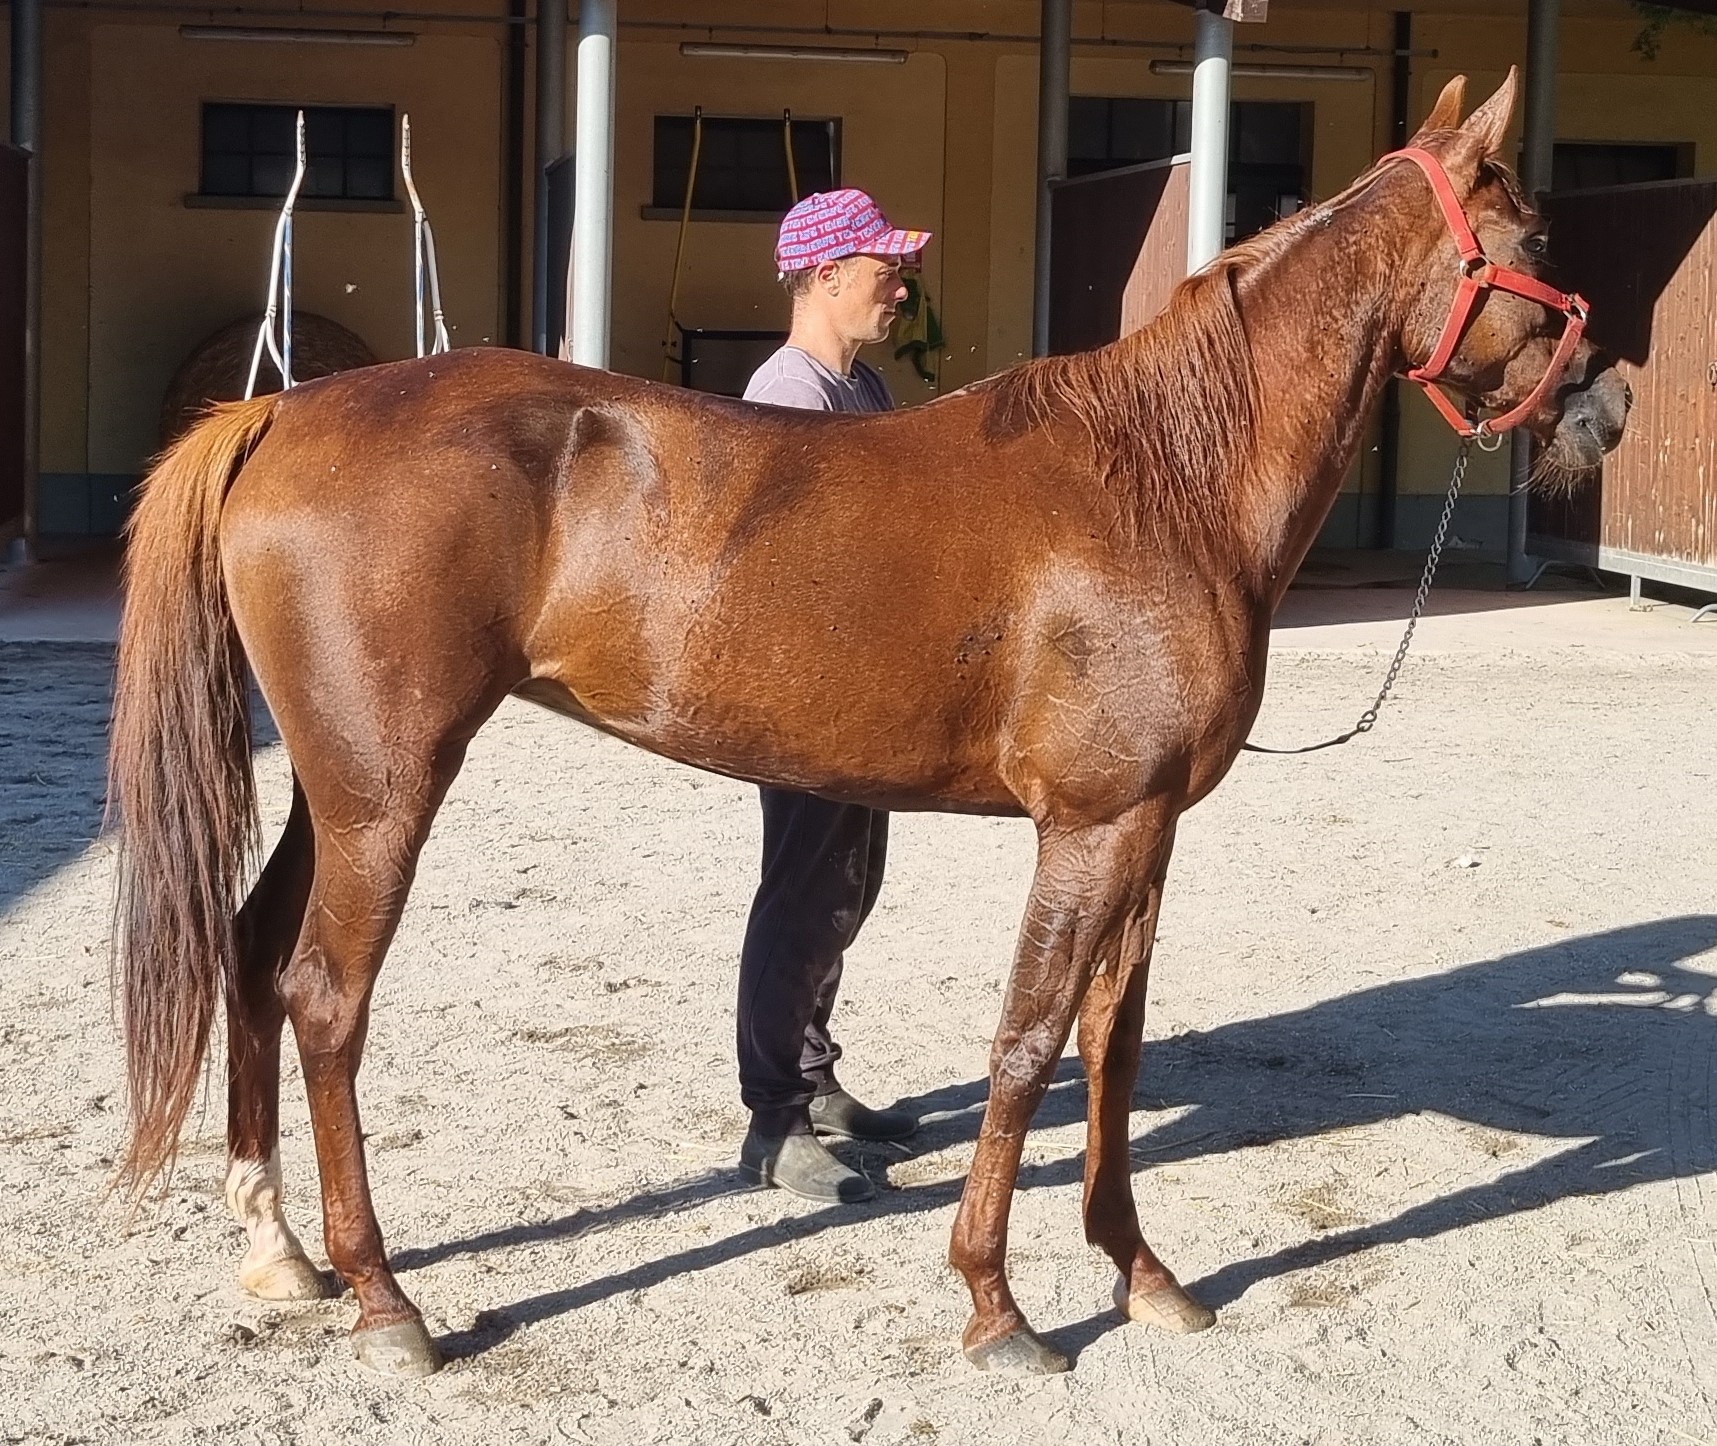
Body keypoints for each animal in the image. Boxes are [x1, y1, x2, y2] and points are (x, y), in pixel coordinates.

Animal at [108, 70, 1629, 1379]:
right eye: (1536, 233)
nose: (1608, 398)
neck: (1164, 476)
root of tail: (277, 411)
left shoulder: (1146, 830)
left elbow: (1112, 1040)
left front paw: (1140, 1270)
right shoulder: (1091, 826)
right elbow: (1027, 1041)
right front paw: (997, 1304)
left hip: (337, 784)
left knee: (252, 955)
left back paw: (280, 1251)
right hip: (388, 786)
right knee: (325, 996)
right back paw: (384, 1296)